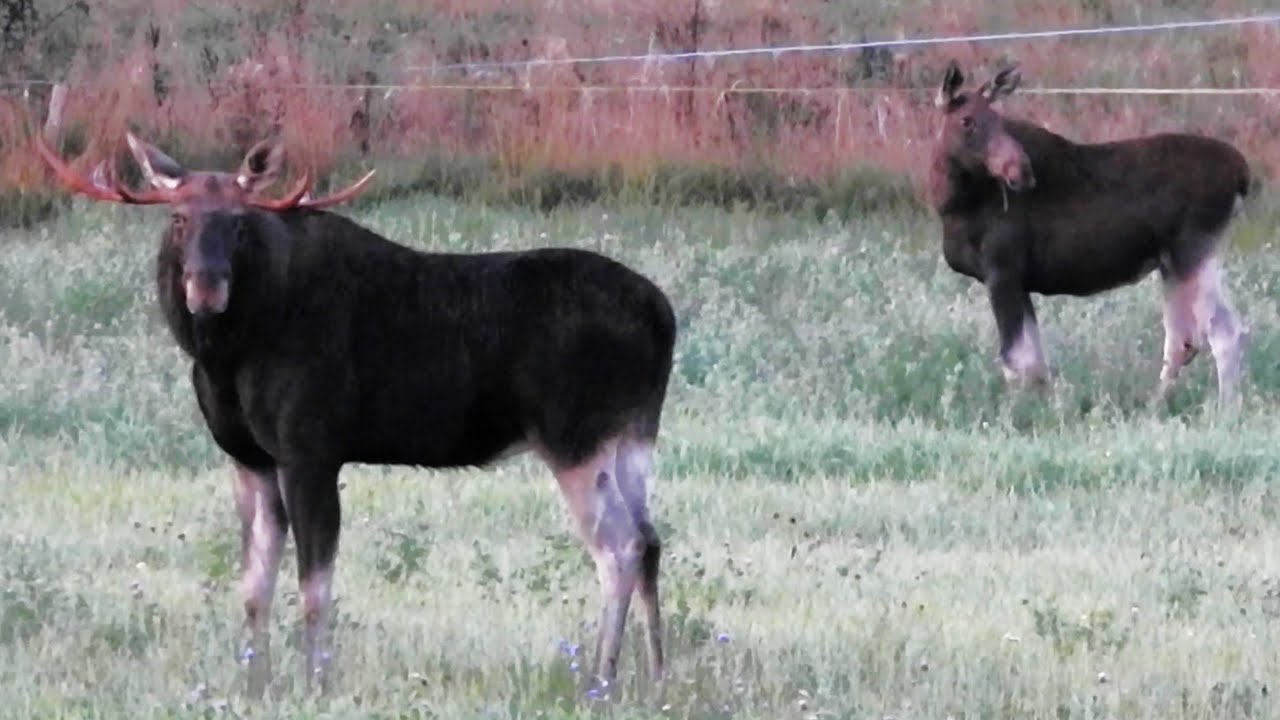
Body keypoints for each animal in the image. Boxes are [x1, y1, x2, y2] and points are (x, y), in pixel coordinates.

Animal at [34, 130, 677, 697]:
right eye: (178, 219)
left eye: (238, 222)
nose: (206, 287)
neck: (227, 356)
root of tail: (663, 317)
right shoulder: (249, 457)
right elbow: (254, 585)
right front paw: (255, 683)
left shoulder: (311, 448)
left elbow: (315, 583)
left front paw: (316, 684)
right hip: (632, 436)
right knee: (650, 540)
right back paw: (656, 675)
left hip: (573, 436)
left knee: (619, 546)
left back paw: (600, 680)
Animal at [929, 60, 1251, 409]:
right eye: (967, 120)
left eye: (999, 120)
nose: (1022, 170)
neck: (952, 204)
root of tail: (1242, 174)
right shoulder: (1019, 281)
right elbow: (1037, 365)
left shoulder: (1002, 271)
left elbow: (1016, 361)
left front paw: (1018, 412)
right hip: (1173, 263)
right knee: (1184, 340)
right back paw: (1155, 404)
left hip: (1193, 251)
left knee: (1224, 332)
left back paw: (1225, 410)